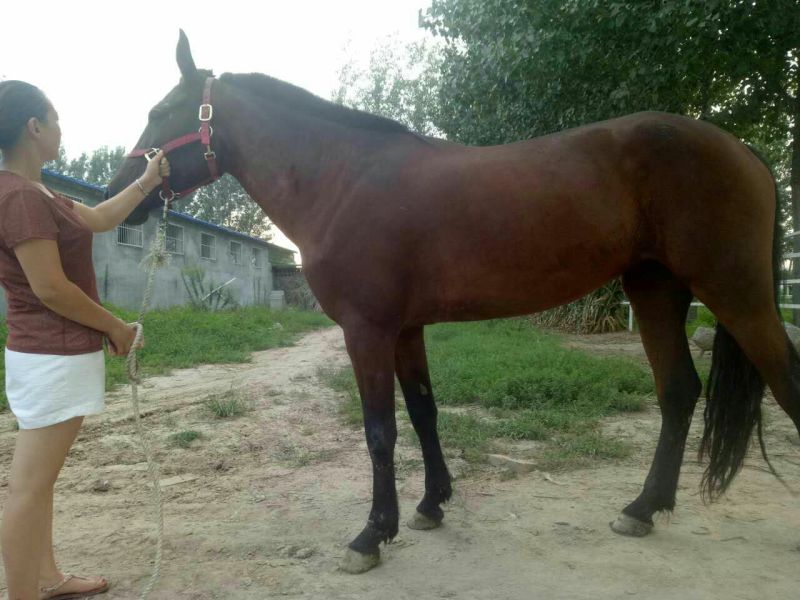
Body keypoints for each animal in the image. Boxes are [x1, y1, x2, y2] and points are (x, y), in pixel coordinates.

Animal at [106, 31, 800, 573]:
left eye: (161, 110)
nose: (125, 191)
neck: (342, 180)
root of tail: (742, 149)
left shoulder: (367, 330)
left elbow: (380, 430)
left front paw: (371, 534)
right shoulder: (406, 328)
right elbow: (423, 412)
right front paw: (430, 504)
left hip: (736, 294)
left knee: (782, 382)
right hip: (655, 290)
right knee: (679, 392)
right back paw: (642, 508)